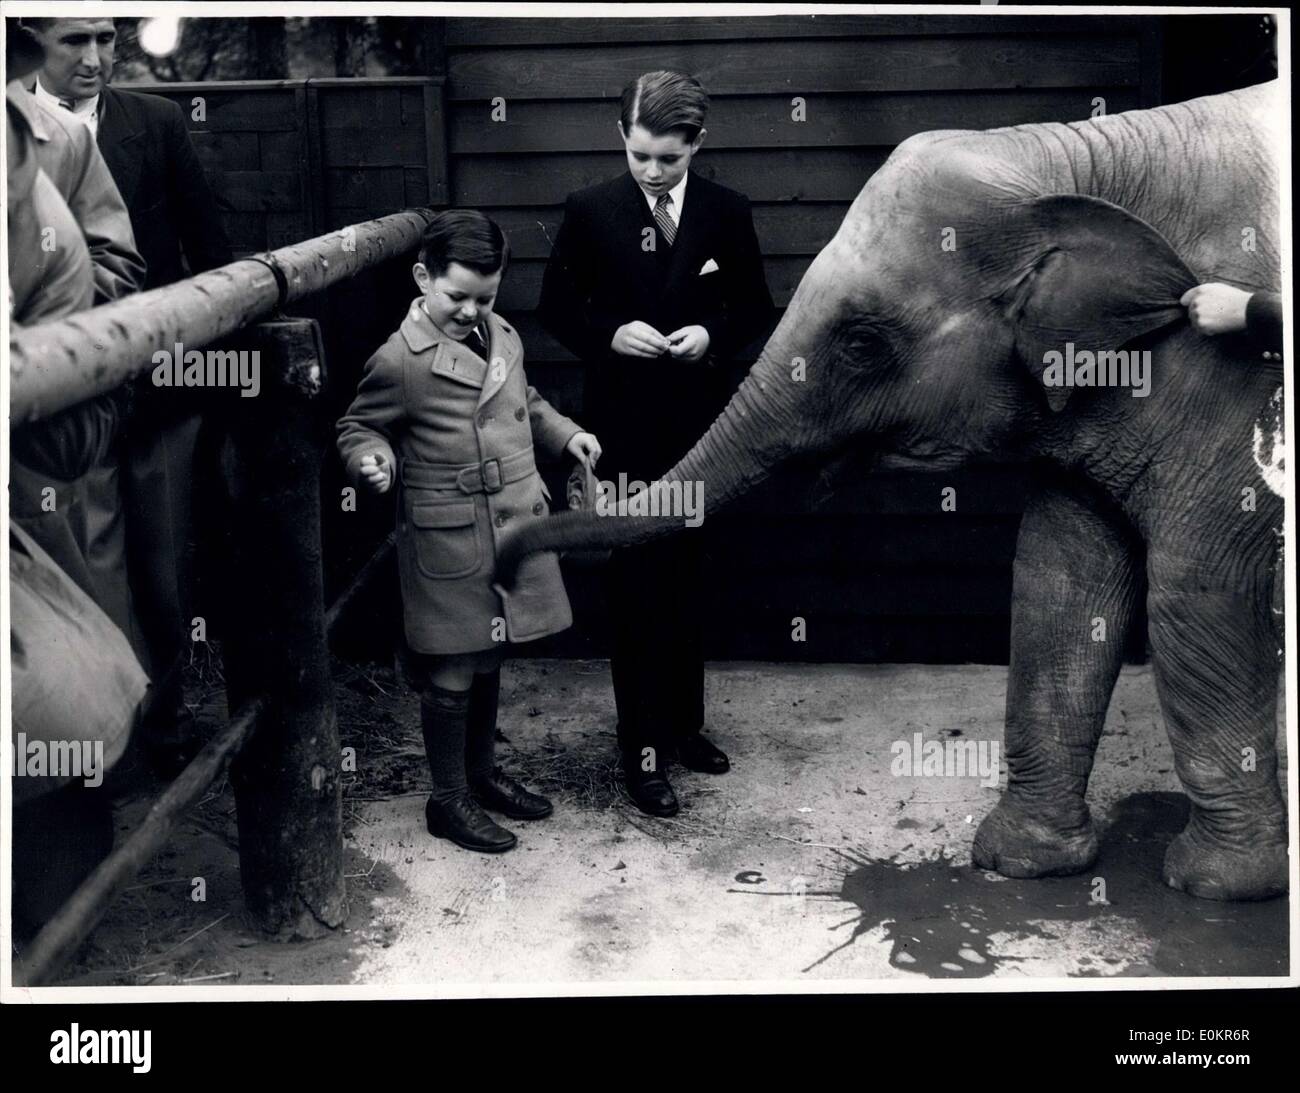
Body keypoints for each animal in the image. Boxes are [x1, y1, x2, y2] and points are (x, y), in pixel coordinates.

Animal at [499, 83, 1289, 904]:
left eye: (861, 343)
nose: (585, 459)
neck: (1068, 159)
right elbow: (1059, 577)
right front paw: (1018, 864)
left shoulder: (1229, 384)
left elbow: (1197, 588)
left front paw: (1218, 887)